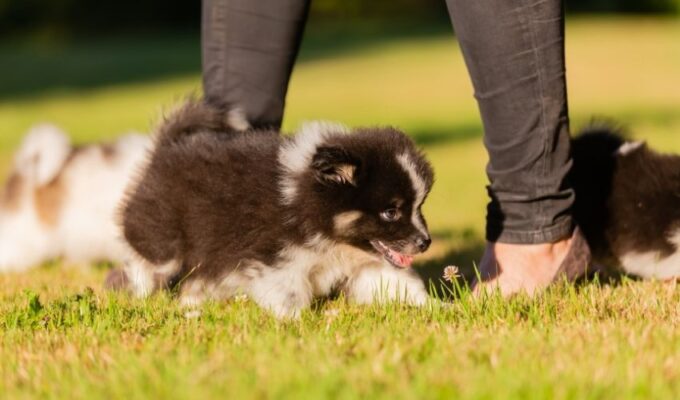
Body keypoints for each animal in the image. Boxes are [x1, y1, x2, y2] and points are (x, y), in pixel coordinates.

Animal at [113, 101, 432, 318]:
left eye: (419, 206)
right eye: (391, 211)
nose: (425, 242)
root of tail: (165, 147)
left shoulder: (366, 265)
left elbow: (394, 283)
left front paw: (434, 306)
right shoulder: (276, 257)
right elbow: (289, 293)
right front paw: (298, 323)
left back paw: (193, 303)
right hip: (162, 238)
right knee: (146, 262)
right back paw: (143, 295)